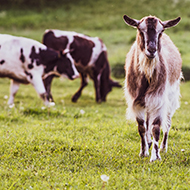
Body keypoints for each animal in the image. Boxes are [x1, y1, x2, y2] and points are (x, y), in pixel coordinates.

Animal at [123, 14, 183, 162]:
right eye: (140, 30)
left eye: (161, 31)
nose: (151, 50)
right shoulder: (136, 100)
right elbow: (141, 127)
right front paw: (143, 152)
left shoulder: (158, 98)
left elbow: (156, 127)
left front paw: (155, 157)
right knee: (148, 121)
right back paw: (149, 142)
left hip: (171, 97)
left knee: (167, 123)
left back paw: (163, 147)